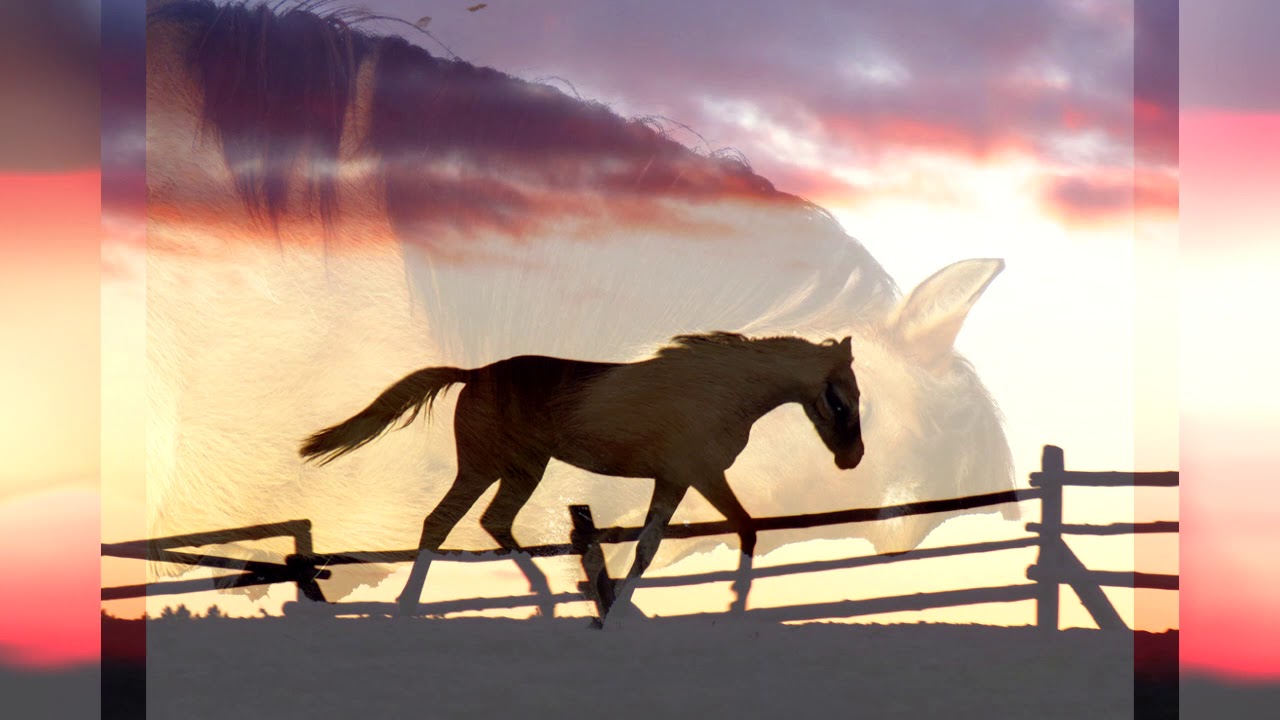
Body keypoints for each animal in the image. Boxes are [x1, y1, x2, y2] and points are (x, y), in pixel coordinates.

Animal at [298, 330, 860, 617]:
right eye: (838, 398)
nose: (851, 458)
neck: (719, 388)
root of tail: (473, 374)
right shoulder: (698, 474)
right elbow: (742, 529)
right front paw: (735, 602)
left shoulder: (675, 480)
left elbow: (653, 546)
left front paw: (619, 610)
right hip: (483, 466)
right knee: (441, 522)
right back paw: (408, 604)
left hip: (523, 469)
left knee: (494, 522)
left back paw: (548, 595)